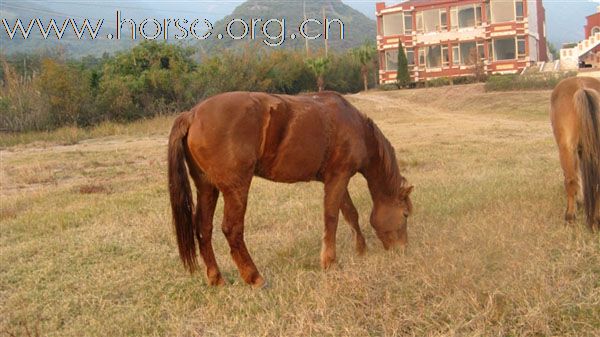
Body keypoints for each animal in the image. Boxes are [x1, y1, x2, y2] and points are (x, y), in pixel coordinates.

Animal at [168, 90, 412, 286]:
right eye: (405, 214)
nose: (402, 249)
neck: (355, 126)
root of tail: (192, 114)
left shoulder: (336, 179)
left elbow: (350, 213)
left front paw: (361, 250)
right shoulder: (339, 177)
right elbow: (331, 217)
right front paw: (330, 262)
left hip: (207, 188)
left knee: (203, 229)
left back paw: (216, 279)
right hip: (236, 189)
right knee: (232, 229)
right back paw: (254, 277)